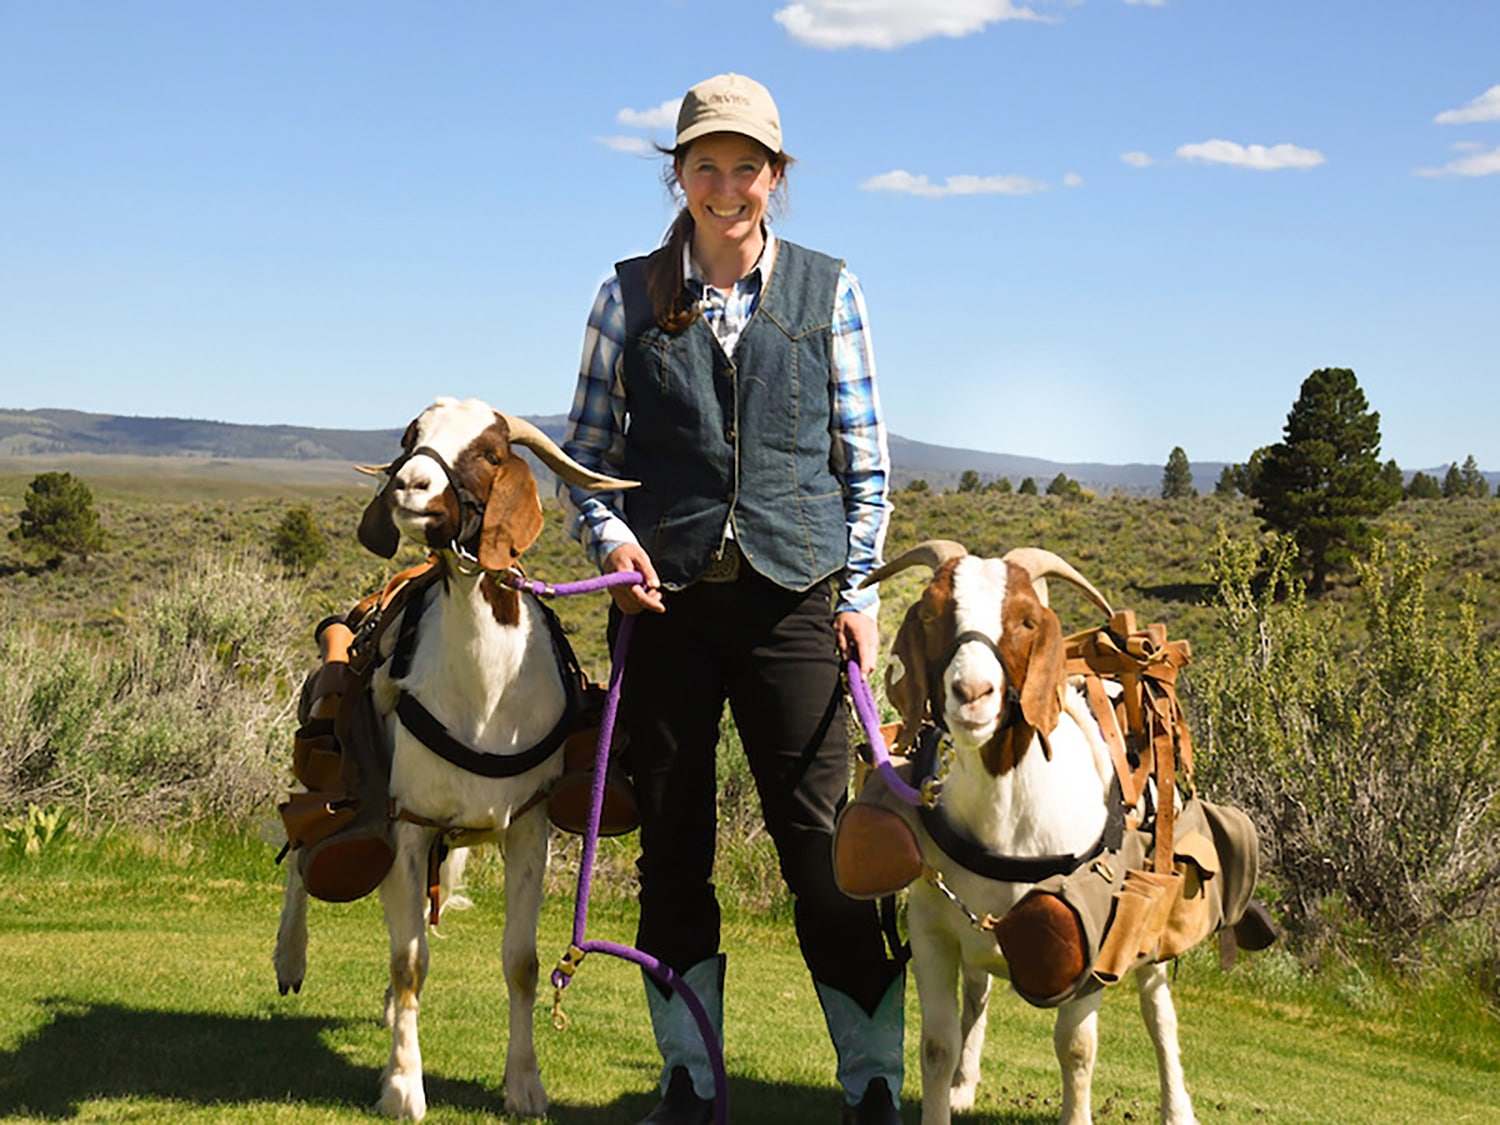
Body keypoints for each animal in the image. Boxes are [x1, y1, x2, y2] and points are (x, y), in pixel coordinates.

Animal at [276, 402, 633, 1122]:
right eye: (410, 437)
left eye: (490, 452)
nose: (408, 486)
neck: (485, 690)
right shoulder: (408, 824)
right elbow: (409, 961)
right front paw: (403, 1085)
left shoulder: (528, 828)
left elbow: (521, 962)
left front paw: (525, 1083)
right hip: (339, 782)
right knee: (307, 851)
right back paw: (289, 958)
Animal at [858, 543, 1206, 1122]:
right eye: (929, 614)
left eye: (1026, 620)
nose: (972, 693)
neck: (1010, 816)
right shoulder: (932, 930)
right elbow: (936, 1045)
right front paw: (948, 1090)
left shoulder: (1095, 939)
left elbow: (1077, 1048)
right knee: (977, 994)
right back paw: (964, 1084)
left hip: (1151, 917)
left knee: (1159, 1011)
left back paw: (1178, 1109)